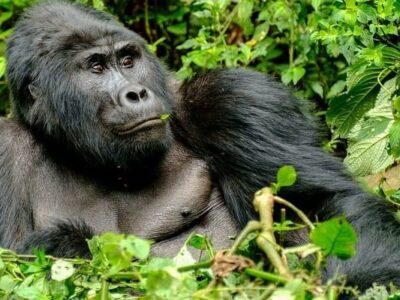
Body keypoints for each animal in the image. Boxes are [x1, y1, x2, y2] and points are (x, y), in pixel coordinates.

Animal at [2, 0, 400, 290]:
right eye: (96, 67)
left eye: (128, 60)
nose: (135, 93)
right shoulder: (5, 150)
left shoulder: (231, 99)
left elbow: (319, 208)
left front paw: (343, 287)